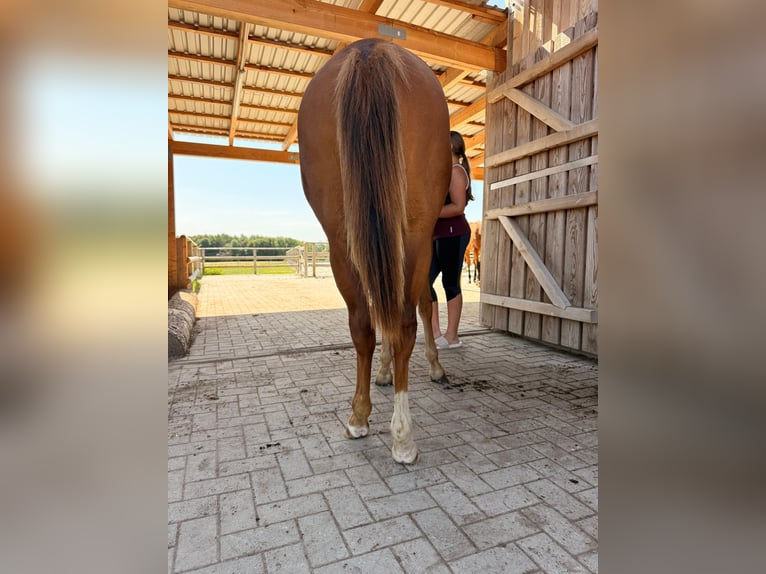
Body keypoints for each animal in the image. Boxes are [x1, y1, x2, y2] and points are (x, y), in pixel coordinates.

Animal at [298, 38, 452, 464]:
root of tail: (370, 50)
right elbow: (419, 307)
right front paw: (424, 368)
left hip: (342, 240)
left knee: (365, 324)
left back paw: (361, 418)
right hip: (410, 237)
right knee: (402, 321)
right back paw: (401, 434)